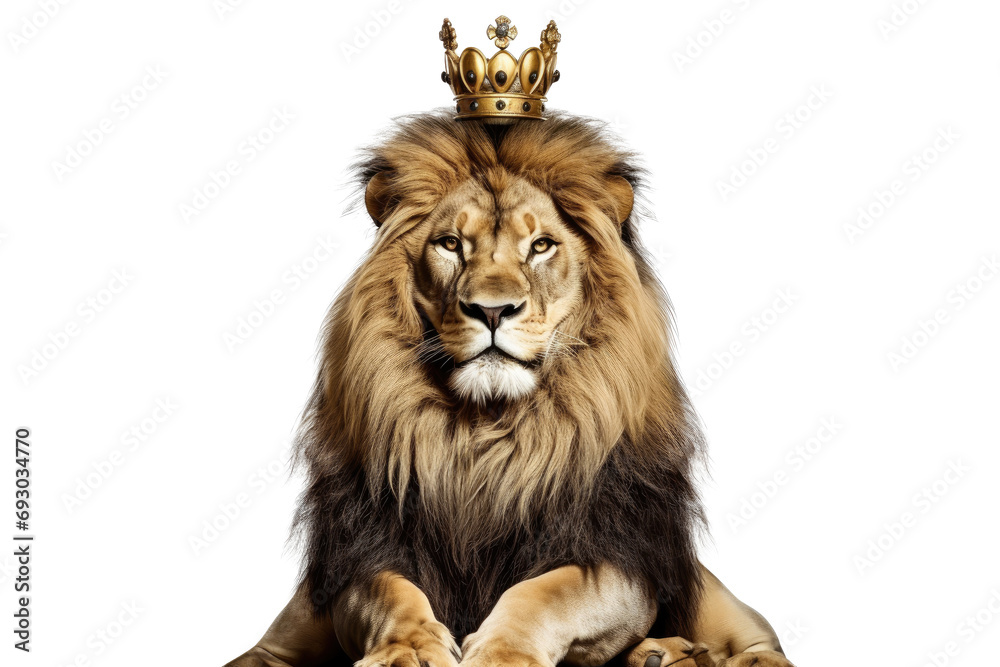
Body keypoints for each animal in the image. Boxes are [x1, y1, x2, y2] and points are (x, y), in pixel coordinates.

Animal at [224, 111, 794, 667]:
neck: (484, 432)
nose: (492, 310)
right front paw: (409, 648)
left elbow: (546, 591)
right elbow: (388, 591)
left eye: (540, 246)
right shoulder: (352, 559)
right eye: (451, 244)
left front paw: (502, 652)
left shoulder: (616, 559)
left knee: (762, 643)